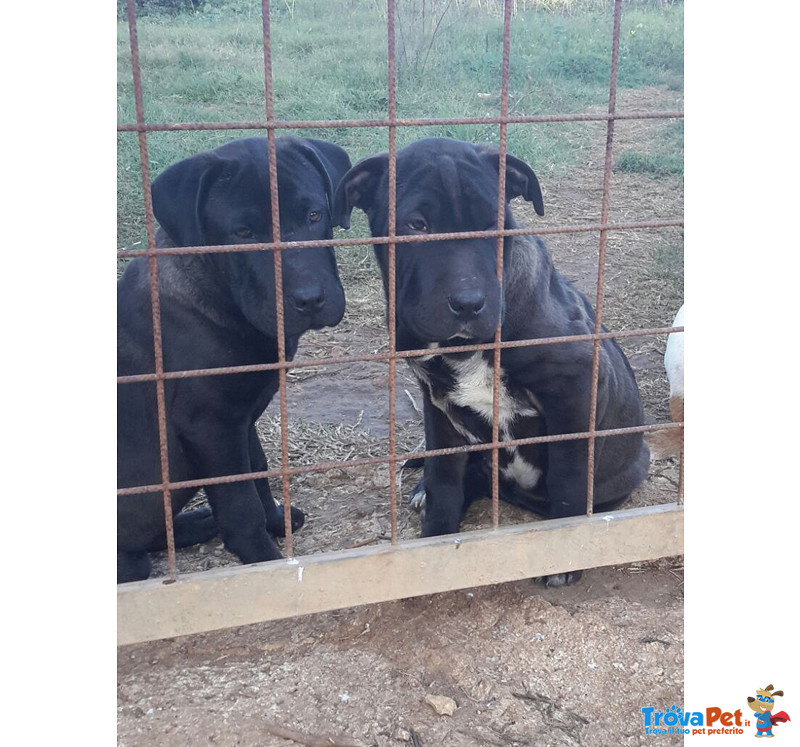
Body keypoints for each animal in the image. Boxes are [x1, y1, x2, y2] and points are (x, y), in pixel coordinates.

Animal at [118, 139, 350, 584]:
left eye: (314, 215)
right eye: (243, 233)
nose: (311, 300)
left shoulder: (240, 419)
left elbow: (256, 470)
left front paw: (275, 519)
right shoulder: (211, 425)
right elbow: (240, 504)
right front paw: (263, 560)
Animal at [332, 139, 648, 584]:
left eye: (495, 223)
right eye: (416, 225)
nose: (469, 303)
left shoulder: (577, 385)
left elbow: (569, 472)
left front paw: (564, 549)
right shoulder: (438, 405)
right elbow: (445, 478)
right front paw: (435, 539)